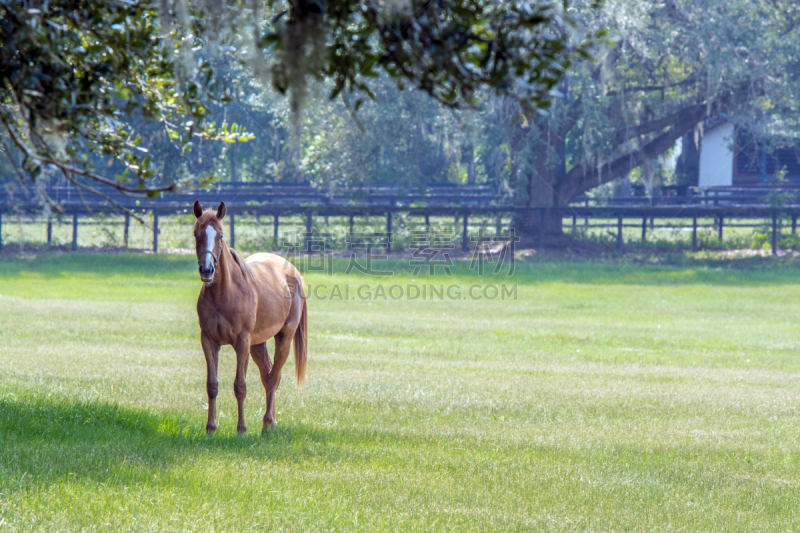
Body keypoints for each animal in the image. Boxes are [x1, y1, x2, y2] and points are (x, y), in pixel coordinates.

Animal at [192, 202, 308, 434]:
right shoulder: (208, 341)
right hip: (257, 344)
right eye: (196, 234)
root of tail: (294, 273)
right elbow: (212, 385)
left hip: (283, 338)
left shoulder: (242, 343)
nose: (207, 270)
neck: (225, 293)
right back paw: (270, 423)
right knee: (267, 374)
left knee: (274, 377)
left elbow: (240, 386)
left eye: (220, 234)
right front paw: (210, 429)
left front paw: (241, 430)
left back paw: (267, 424)